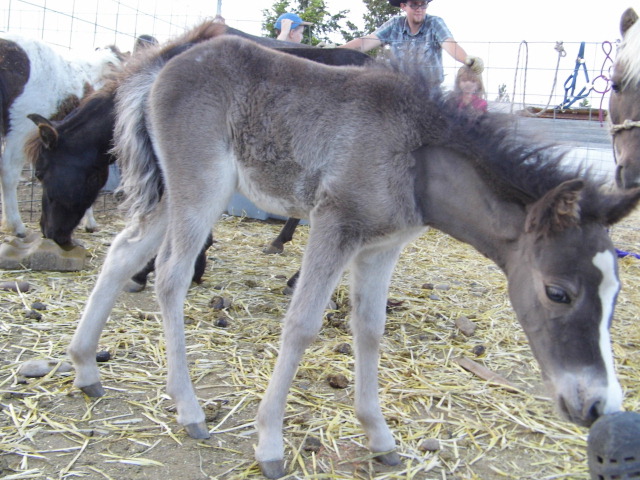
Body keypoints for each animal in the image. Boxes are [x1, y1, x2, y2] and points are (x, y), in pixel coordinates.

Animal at [65, 33, 640, 479]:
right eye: (557, 292)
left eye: (615, 298)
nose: (596, 406)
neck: (415, 156)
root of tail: (161, 66)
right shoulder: (334, 225)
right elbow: (302, 324)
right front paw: (269, 443)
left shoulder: (381, 248)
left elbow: (369, 330)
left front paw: (380, 437)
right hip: (202, 186)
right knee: (170, 275)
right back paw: (188, 410)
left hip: (175, 190)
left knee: (121, 255)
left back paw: (85, 367)